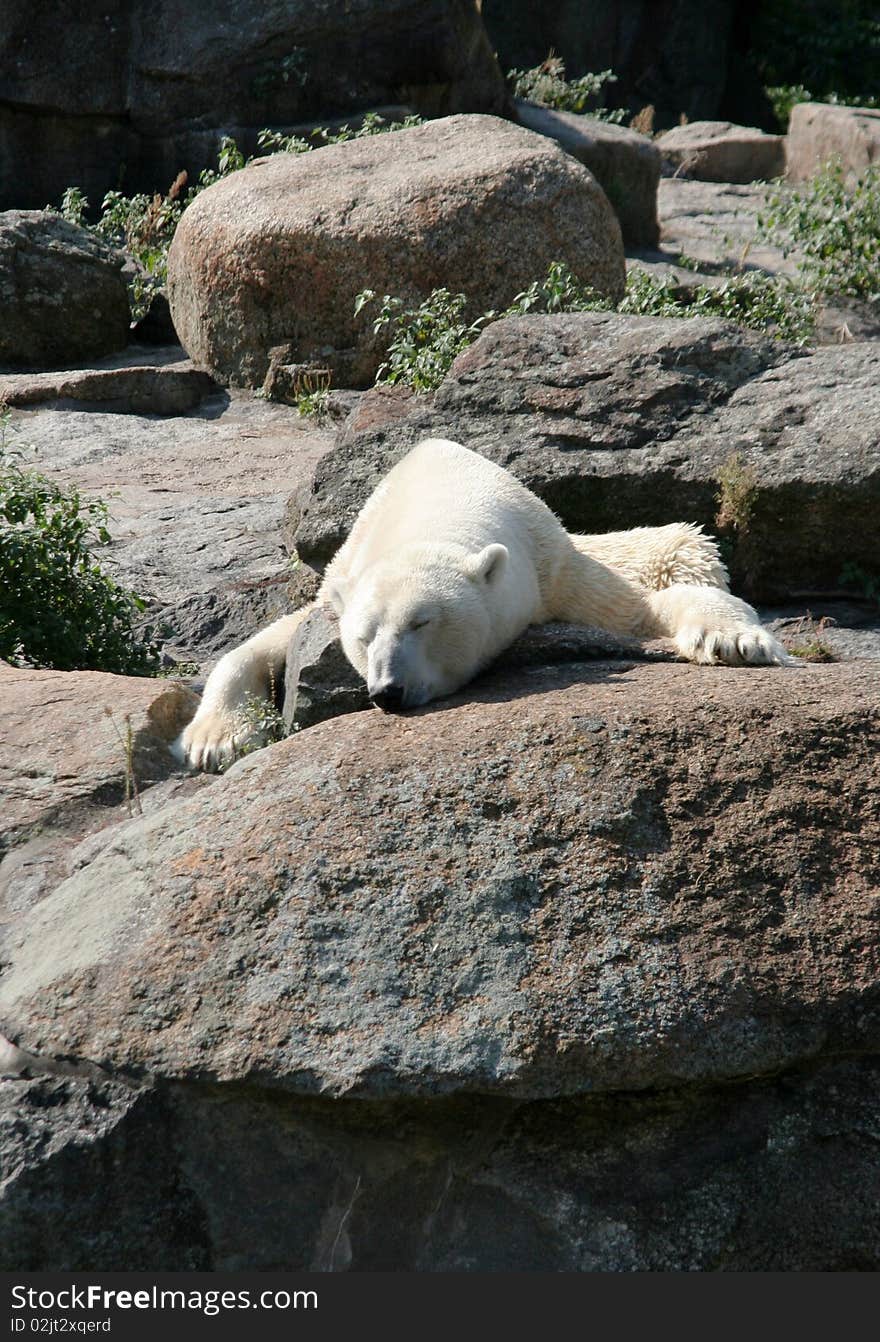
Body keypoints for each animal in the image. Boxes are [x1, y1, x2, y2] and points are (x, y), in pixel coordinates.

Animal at [177, 440, 788, 772]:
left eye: (421, 622)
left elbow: (635, 606)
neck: (429, 508)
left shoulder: (548, 566)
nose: (388, 692)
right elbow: (261, 644)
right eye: (363, 636)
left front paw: (736, 640)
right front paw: (213, 741)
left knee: (681, 544)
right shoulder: (336, 585)